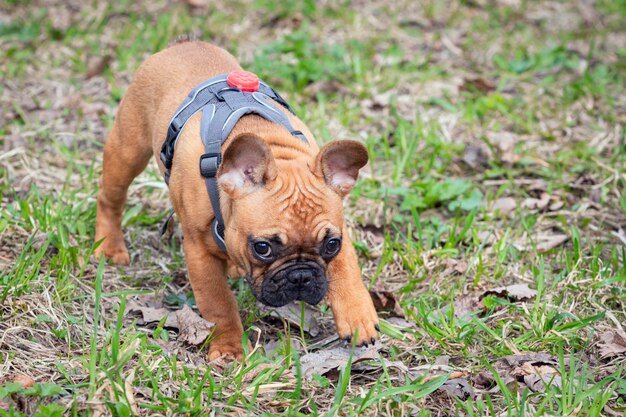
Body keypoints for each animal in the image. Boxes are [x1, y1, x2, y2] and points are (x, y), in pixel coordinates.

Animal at [92, 40, 376, 360]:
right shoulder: (199, 253)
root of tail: (183, 43)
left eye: (331, 245)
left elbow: (347, 268)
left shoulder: (341, 230)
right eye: (263, 248)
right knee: (110, 197)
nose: (301, 277)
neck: (276, 149)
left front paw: (357, 315)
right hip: (127, 150)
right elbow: (219, 304)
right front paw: (231, 349)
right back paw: (109, 245)